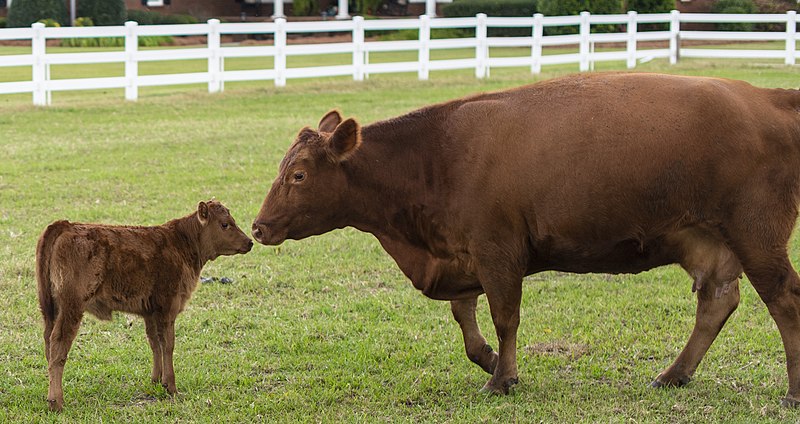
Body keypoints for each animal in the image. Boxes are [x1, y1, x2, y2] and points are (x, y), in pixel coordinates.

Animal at [35, 200, 250, 412]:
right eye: (225, 224)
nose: (249, 242)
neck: (181, 243)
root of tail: (65, 225)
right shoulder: (168, 307)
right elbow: (168, 345)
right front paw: (171, 387)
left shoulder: (150, 312)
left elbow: (155, 343)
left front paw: (157, 381)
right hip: (71, 307)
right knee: (58, 344)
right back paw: (56, 402)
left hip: (50, 309)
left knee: (48, 343)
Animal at [253, 72, 800, 404]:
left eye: (299, 175)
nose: (258, 226)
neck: (436, 156)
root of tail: (767, 97)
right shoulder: (464, 255)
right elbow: (467, 321)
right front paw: (489, 360)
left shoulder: (497, 250)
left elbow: (505, 317)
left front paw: (503, 378)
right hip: (709, 240)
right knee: (717, 302)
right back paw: (674, 373)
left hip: (757, 235)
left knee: (784, 301)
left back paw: (792, 391)